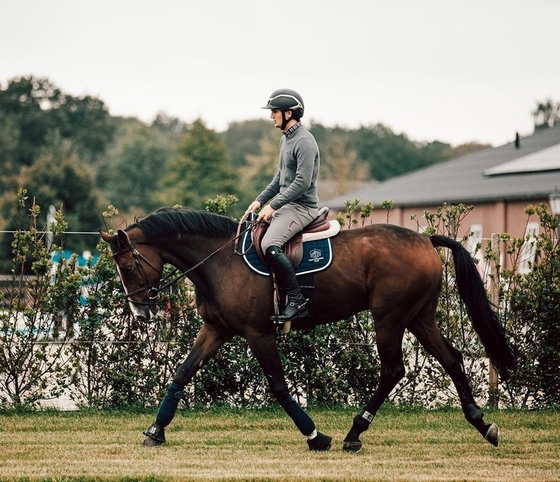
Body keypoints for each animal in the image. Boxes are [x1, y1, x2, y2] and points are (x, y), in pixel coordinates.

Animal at [98, 208, 516, 452]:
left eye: (129, 267)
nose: (140, 312)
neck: (220, 261)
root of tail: (425, 239)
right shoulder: (216, 330)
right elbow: (182, 373)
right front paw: (156, 430)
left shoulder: (259, 333)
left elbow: (279, 387)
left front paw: (316, 436)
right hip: (419, 317)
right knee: (451, 359)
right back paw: (482, 424)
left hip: (390, 319)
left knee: (393, 370)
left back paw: (354, 433)